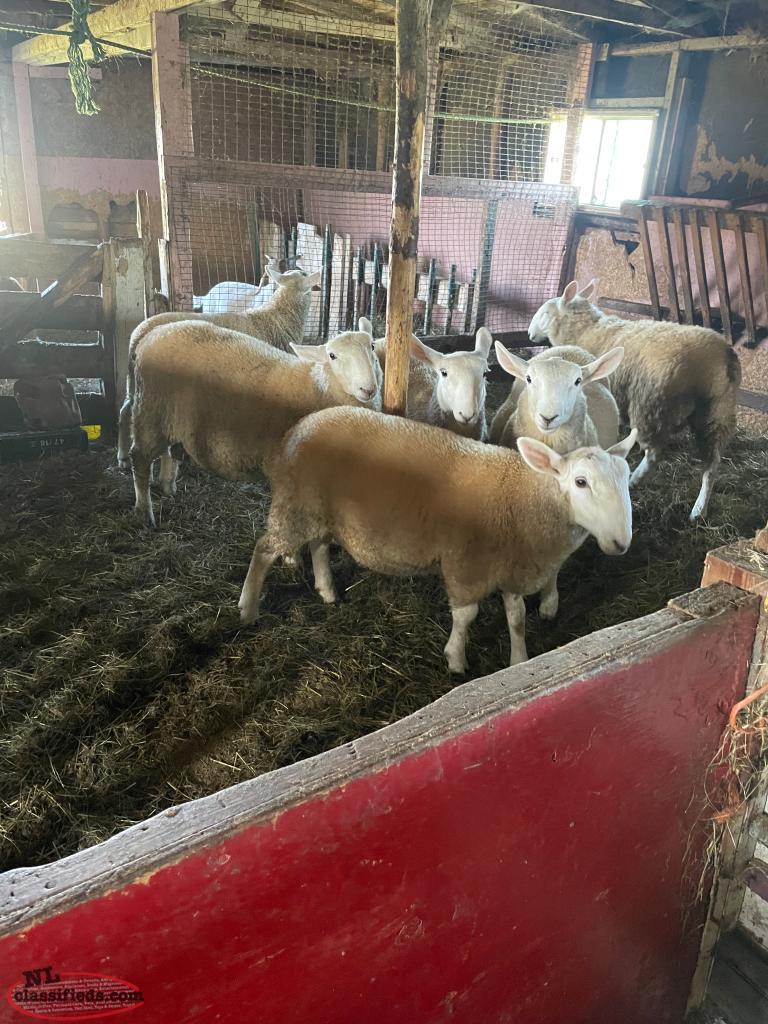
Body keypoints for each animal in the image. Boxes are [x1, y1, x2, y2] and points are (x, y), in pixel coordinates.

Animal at [117, 265, 320, 471]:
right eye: (304, 275)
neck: (276, 319)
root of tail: (138, 334)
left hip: (134, 381)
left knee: (125, 410)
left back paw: (122, 457)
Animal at [129, 320, 382, 529]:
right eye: (332, 356)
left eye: (371, 346)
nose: (368, 388)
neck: (317, 386)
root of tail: (150, 335)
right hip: (149, 411)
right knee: (139, 459)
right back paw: (144, 513)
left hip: (167, 417)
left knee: (169, 451)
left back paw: (168, 487)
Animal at [238, 405, 637, 673]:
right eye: (581, 482)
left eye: (626, 476)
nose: (622, 543)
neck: (523, 499)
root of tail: (298, 428)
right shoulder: (466, 565)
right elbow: (467, 615)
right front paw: (456, 659)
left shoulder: (512, 566)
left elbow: (517, 618)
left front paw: (519, 660)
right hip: (297, 504)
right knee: (265, 549)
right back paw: (248, 609)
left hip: (320, 510)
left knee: (318, 546)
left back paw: (327, 591)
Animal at [528, 279, 742, 521]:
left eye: (545, 312)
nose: (529, 333)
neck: (585, 330)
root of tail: (720, 357)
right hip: (717, 411)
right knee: (711, 466)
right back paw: (699, 510)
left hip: (651, 404)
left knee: (654, 454)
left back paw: (635, 480)